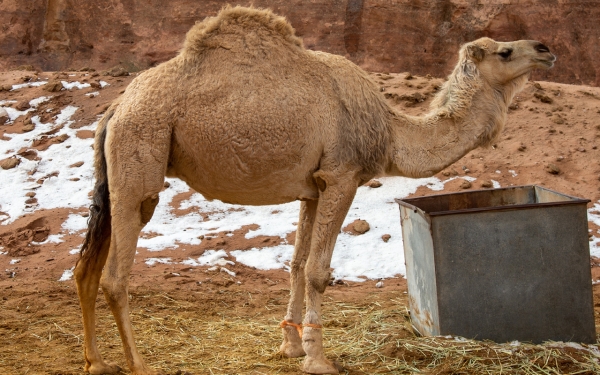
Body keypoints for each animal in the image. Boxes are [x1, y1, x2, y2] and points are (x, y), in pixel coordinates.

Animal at [75, 5, 556, 375]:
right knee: (115, 276)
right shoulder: (342, 175)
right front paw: (318, 359)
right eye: (505, 50)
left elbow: (295, 264)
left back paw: (96, 362)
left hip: (117, 171)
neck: (390, 131)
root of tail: (116, 108)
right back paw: (138, 363)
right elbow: (318, 272)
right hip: (140, 158)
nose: (546, 49)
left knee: (86, 269)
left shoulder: (311, 188)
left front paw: (290, 346)